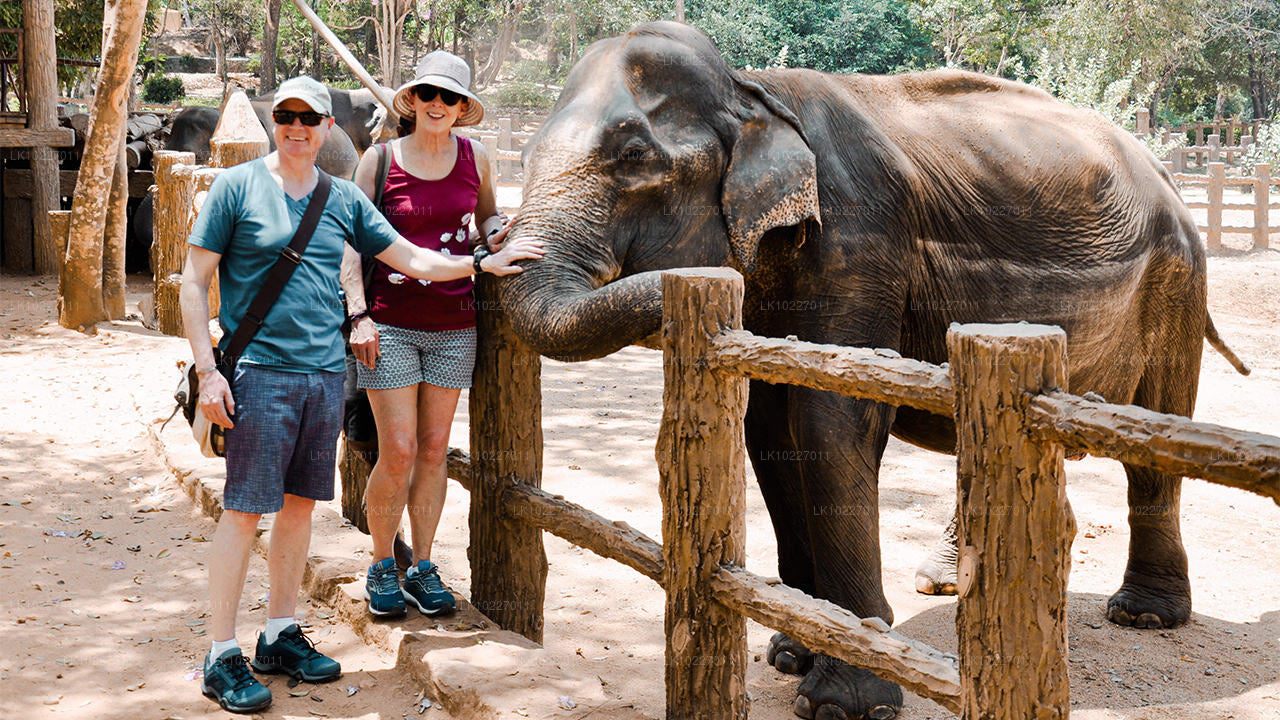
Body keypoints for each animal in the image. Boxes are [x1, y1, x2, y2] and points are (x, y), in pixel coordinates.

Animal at [496, 20, 1249, 717]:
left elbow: (829, 422)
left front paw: (844, 700)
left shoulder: (861, 238)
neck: (752, 89)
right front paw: (792, 652)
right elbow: (772, 423)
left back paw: (1143, 614)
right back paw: (954, 579)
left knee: (1157, 433)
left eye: (630, 157)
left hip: (1177, 281)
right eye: (523, 156)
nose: (491, 244)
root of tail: (1165, 173)